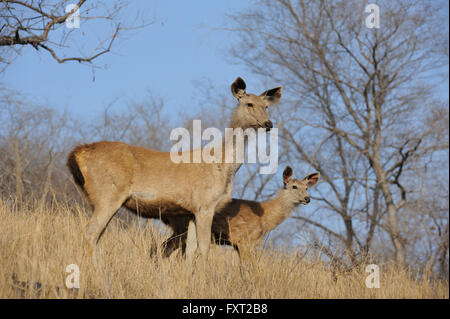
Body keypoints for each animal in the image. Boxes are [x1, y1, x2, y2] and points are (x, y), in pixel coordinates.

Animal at [67, 77, 284, 260]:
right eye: (249, 104)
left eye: (266, 106)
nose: (268, 124)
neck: (223, 166)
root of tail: (78, 153)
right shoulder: (205, 204)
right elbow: (204, 248)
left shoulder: (190, 211)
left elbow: (191, 250)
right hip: (108, 193)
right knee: (90, 233)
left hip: (97, 198)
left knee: (96, 235)